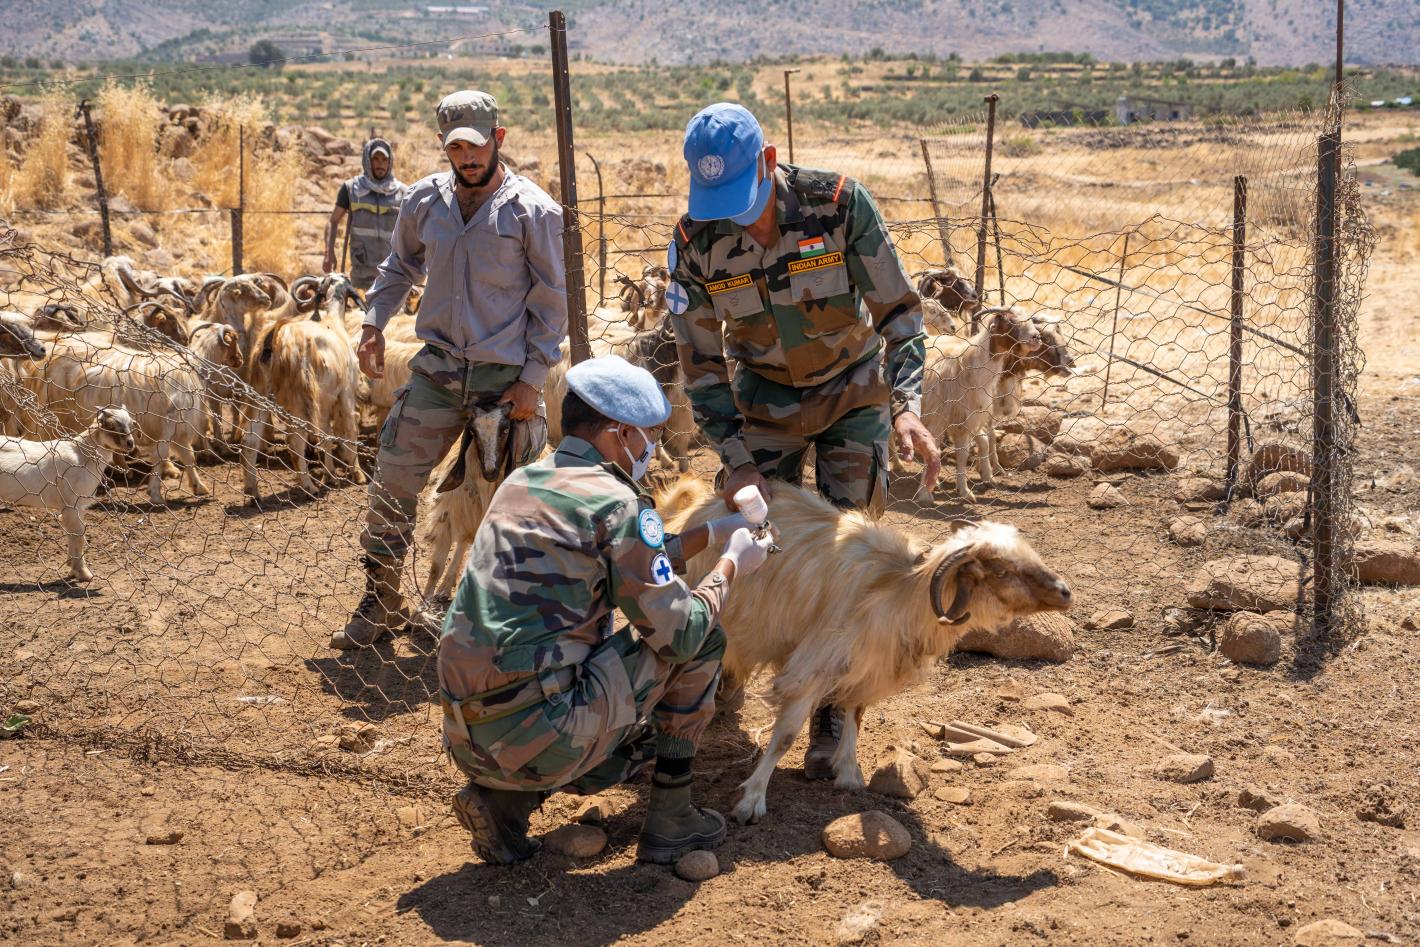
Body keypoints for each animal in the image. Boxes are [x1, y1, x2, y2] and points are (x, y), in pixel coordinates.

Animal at [0, 405, 137, 582]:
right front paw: (83, 573)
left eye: (132, 424)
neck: (83, 456)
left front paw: (71, 566)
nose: (130, 443)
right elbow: (78, 536)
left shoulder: (75, 507)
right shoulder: (72, 503)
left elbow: (73, 534)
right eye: (111, 426)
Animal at [660, 477, 1072, 824]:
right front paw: (752, 800)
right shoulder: (813, 664)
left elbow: (855, 714)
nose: (1066, 592)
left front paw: (847, 772)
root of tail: (698, 507)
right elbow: (786, 736)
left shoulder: (867, 664)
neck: (901, 593)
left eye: (1030, 554)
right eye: (1002, 571)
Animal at [918, 306, 1043, 502]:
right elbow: (934, 450)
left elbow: (964, 453)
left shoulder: (965, 419)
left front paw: (964, 491)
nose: (1036, 337)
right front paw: (925, 493)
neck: (967, 366)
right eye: (1010, 322)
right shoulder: (938, 417)